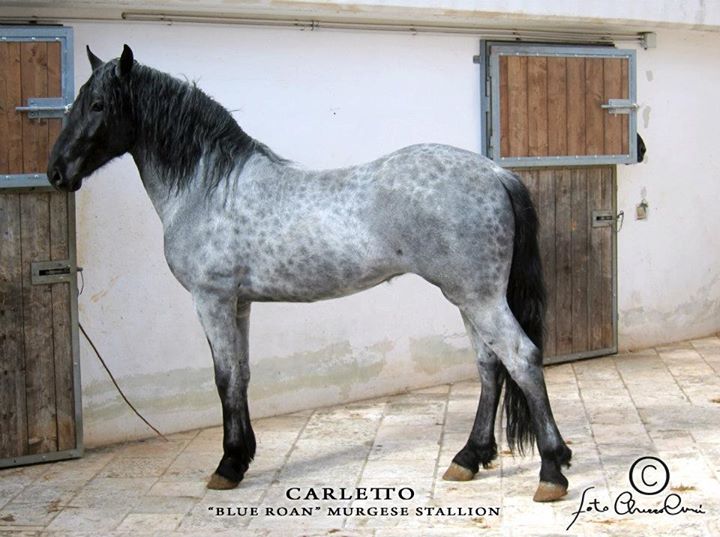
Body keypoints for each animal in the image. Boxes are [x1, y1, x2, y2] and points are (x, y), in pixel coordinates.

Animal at [47, 44, 572, 500]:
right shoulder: (240, 303)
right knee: (489, 366)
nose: (55, 172)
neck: (211, 188)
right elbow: (241, 375)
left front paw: (226, 466)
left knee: (521, 357)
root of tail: (495, 173)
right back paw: (468, 458)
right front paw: (242, 457)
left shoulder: (211, 299)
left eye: (98, 104)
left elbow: (222, 377)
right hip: (466, 296)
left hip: (479, 297)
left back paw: (551, 470)